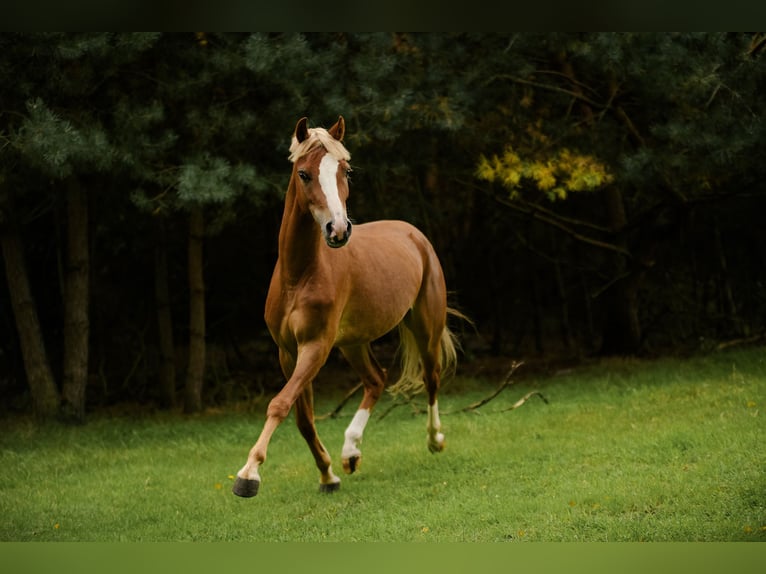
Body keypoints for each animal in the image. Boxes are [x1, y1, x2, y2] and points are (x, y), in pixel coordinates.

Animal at [232, 116, 459, 497]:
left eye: (345, 170)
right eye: (304, 173)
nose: (338, 230)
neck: (300, 275)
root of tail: (414, 234)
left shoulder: (316, 347)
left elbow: (280, 404)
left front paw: (248, 474)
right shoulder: (288, 352)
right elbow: (303, 418)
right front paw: (328, 475)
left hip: (425, 326)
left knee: (431, 378)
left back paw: (435, 440)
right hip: (354, 343)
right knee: (376, 380)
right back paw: (350, 452)